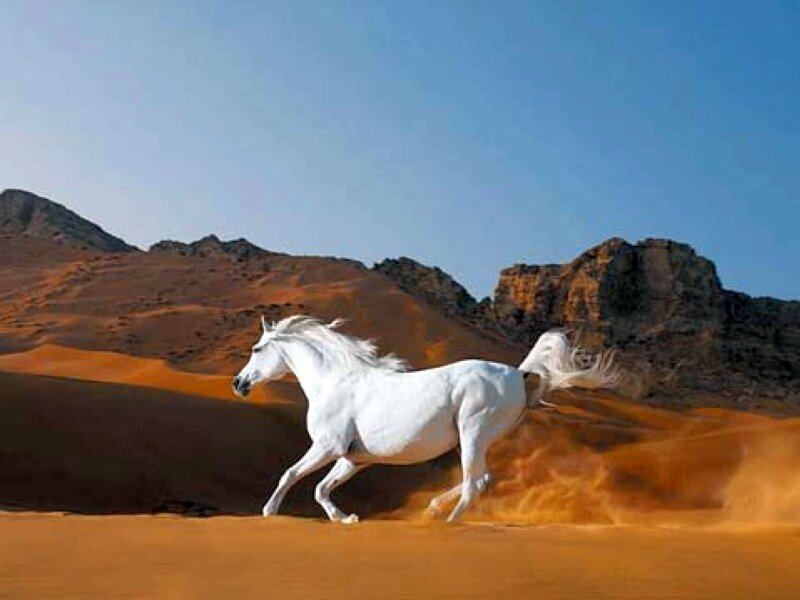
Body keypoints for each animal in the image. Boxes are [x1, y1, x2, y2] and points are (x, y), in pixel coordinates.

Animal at [232, 315, 618, 523]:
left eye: (256, 349)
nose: (239, 384)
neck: (334, 381)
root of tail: (517, 374)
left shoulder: (328, 446)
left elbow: (291, 474)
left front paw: (268, 512)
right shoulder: (354, 458)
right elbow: (322, 488)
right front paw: (346, 518)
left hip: (473, 432)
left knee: (474, 483)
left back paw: (445, 522)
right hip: (472, 440)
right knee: (481, 479)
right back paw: (432, 510)